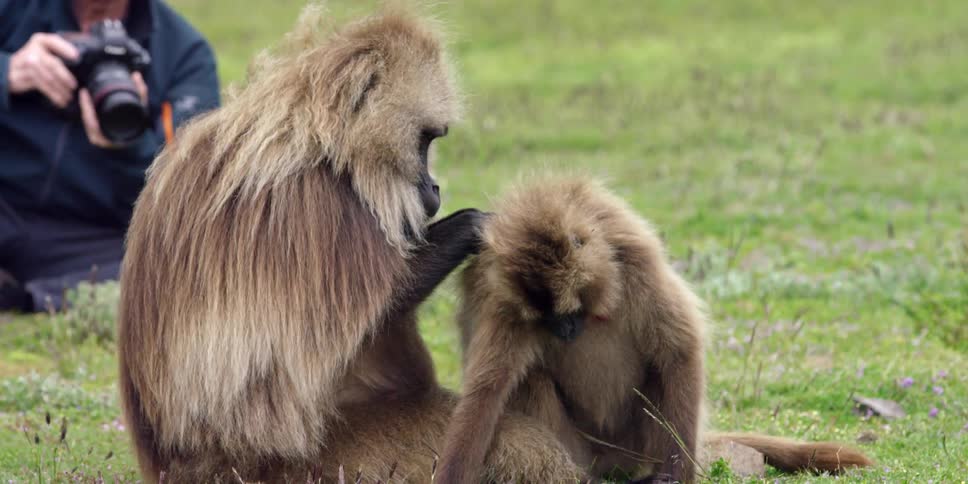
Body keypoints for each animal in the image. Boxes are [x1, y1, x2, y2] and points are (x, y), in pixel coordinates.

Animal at [117, 6, 580, 483]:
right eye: (425, 141)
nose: (434, 187)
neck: (316, 144)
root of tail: (179, 466)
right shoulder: (311, 204)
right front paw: (473, 226)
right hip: (322, 463)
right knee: (523, 447)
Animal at [436, 176, 873, 483]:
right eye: (544, 317)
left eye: (568, 308)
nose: (564, 329)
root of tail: (612, 459)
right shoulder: (506, 301)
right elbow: (488, 389)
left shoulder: (635, 264)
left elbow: (679, 349)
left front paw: (676, 478)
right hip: (580, 444)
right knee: (530, 378)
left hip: (636, 441)